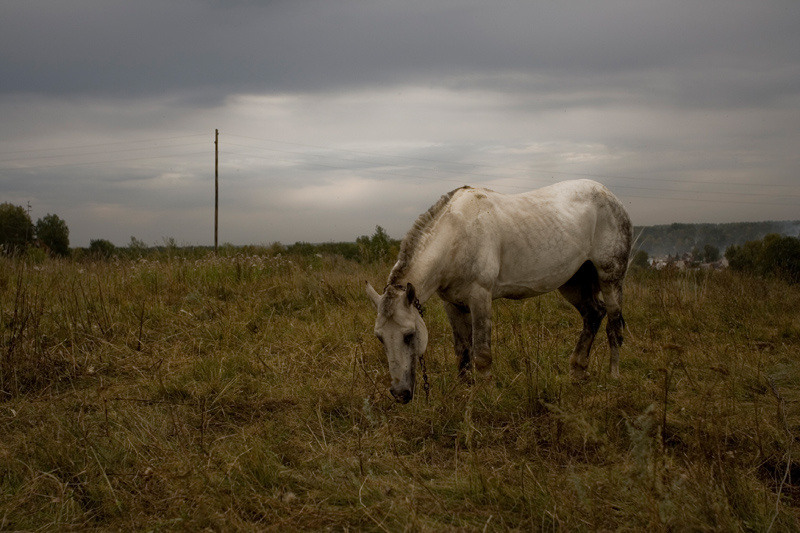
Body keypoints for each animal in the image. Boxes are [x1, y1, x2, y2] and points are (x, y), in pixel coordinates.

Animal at [366, 179, 636, 404]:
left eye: (410, 335)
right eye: (380, 337)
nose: (400, 394)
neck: (456, 236)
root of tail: (610, 195)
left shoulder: (480, 297)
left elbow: (482, 354)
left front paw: (486, 397)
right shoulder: (452, 304)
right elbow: (462, 352)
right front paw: (465, 392)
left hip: (610, 278)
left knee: (613, 326)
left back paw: (613, 377)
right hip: (574, 282)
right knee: (593, 314)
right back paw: (577, 371)